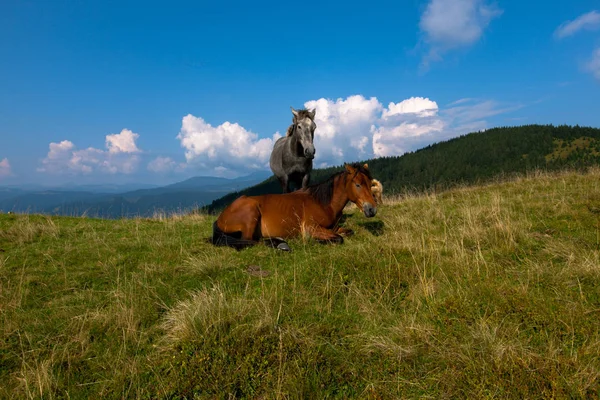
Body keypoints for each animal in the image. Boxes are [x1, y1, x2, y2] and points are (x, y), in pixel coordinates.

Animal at [213, 162, 378, 250]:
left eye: (371, 184)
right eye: (357, 184)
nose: (372, 209)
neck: (323, 203)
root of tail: (221, 216)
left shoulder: (334, 227)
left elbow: (347, 232)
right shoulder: (311, 227)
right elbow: (338, 239)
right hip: (251, 214)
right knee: (248, 241)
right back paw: (278, 243)